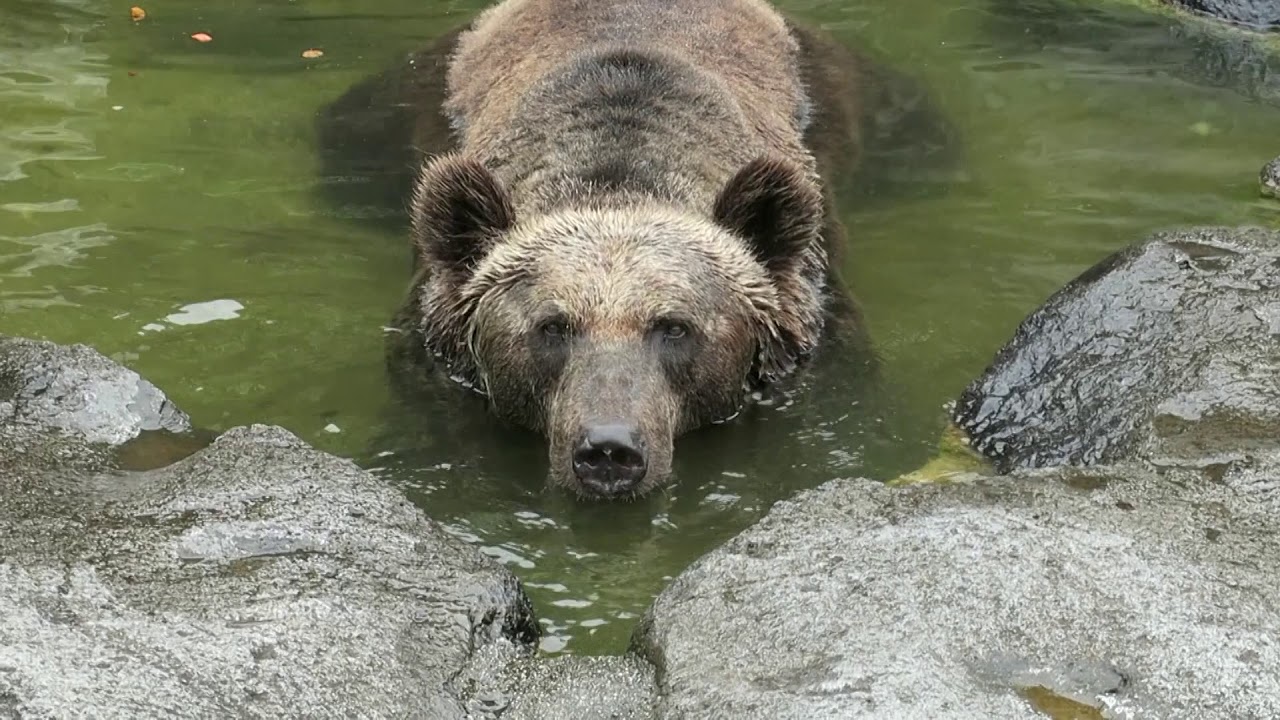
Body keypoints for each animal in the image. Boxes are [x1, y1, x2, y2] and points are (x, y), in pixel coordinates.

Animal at [317, 0, 959, 499]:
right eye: (552, 326)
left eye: (674, 327)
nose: (609, 449)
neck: (621, 172)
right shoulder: (433, 358)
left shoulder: (814, 341)